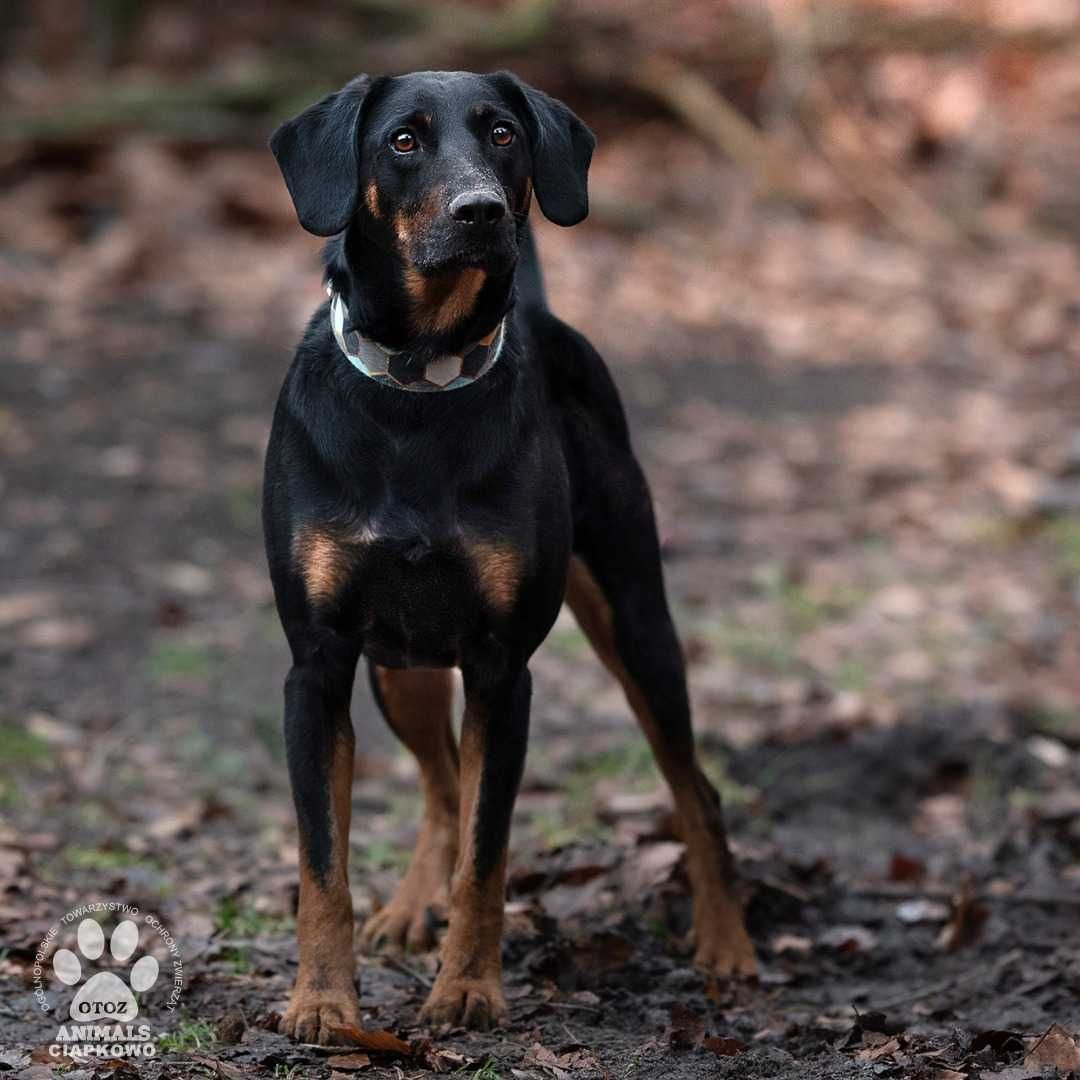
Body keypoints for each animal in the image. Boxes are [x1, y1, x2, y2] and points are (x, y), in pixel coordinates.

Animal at [262, 69, 756, 1045]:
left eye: (503, 134)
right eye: (403, 140)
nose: (483, 212)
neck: (419, 386)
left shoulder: (502, 668)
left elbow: (487, 855)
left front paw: (468, 990)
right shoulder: (318, 666)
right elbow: (323, 862)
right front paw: (323, 1001)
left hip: (635, 618)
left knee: (693, 787)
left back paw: (727, 942)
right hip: (400, 668)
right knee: (442, 780)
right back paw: (409, 906)